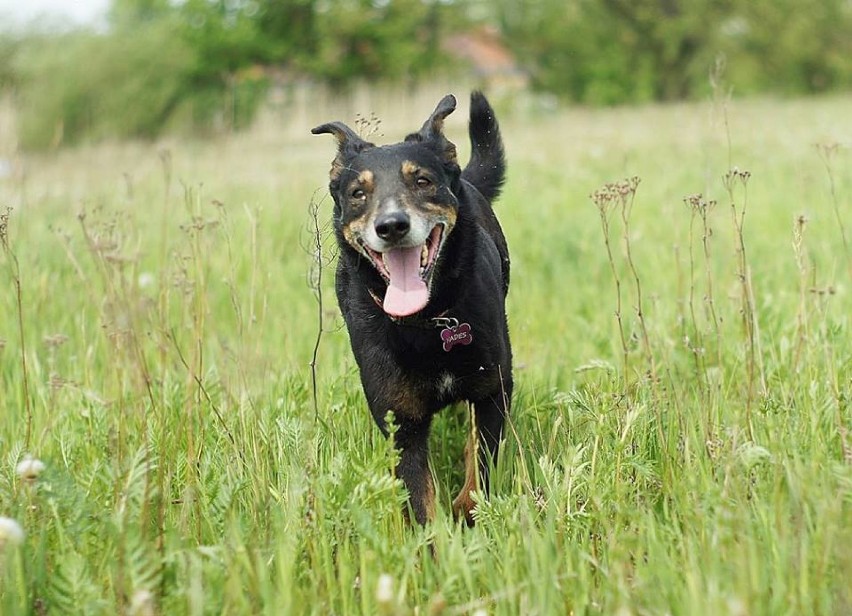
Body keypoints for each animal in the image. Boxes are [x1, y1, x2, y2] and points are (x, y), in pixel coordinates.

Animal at [312, 94, 512, 528]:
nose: (391, 226)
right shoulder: (400, 422)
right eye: (358, 193)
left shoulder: (492, 392)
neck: (428, 321)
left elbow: (478, 471)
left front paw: (467, 515)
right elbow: (421, 504)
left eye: (422, 181)